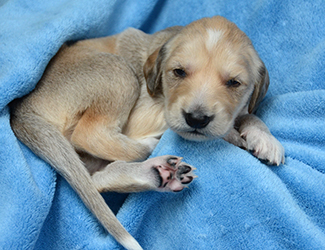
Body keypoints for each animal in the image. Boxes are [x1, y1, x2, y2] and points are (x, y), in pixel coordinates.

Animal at [10, 16, 284, 250]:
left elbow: (247, 114)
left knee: (96, 179)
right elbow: (204, 128)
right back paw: (153, 149)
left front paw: (264, 138)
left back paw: (159, 173)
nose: (196, 119)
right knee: (91, 136)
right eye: (179, 72)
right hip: (118, 71)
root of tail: (20, 111)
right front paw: (236, 136)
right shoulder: (150, 112)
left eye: (234, 83)